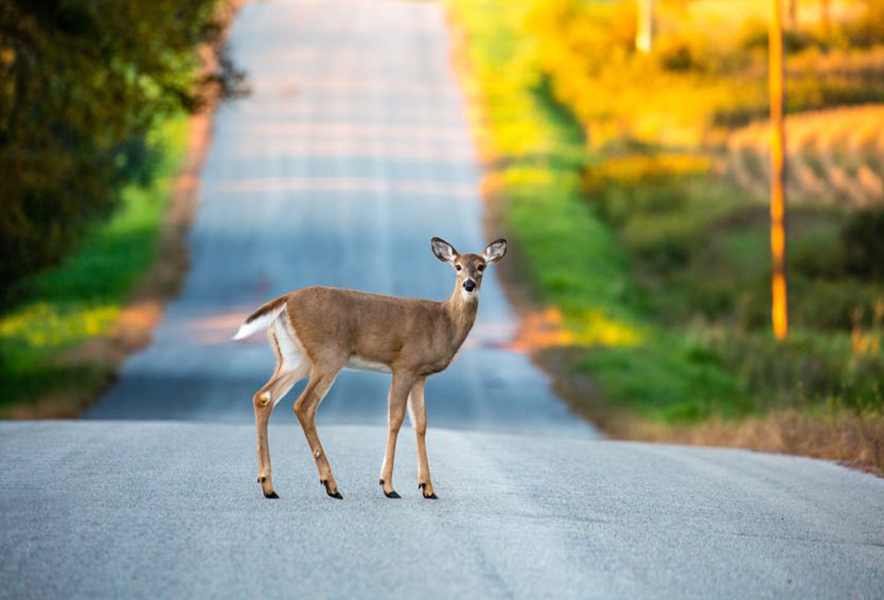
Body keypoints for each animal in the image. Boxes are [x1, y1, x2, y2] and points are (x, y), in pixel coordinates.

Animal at [231, 237, 508, 500]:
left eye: (481, 266)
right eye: (457, 266)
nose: (469, 285)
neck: (444, 322)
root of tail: (286, 300)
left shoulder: (420, 375)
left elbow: (421, 423)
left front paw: (428, 488)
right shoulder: (404, 365)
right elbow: (395, 418)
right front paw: (388, 486)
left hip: (293, 357)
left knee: (263, 397)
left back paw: (269, 486)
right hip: (328, 355)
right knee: (303, 405)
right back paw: (330, 485)